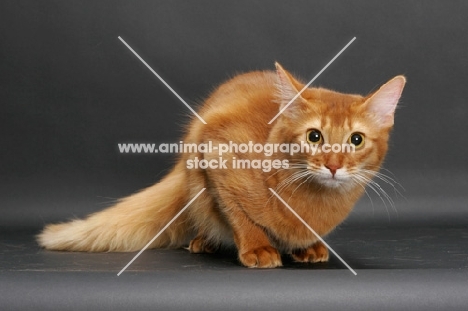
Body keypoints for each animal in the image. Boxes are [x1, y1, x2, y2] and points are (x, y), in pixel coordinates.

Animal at [38, 62, 406, 268]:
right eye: (314, 136)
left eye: (356, 140)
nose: (332, 165)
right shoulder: (215, 149)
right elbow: (238, 214)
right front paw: (257, 247)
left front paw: (306, 245)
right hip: (194, 171)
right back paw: (205, 241)